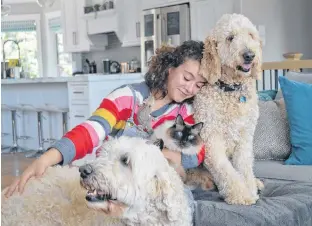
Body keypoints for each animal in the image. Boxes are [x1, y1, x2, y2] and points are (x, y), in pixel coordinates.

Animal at [194, 13, 264, 206]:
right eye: (230, 38)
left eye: (251, 35)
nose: (249, 55)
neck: (232, 90)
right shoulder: (211, 140)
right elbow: (227, 172)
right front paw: (241, 195)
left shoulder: (245, 138)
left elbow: (245, 167)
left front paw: (250, 188)